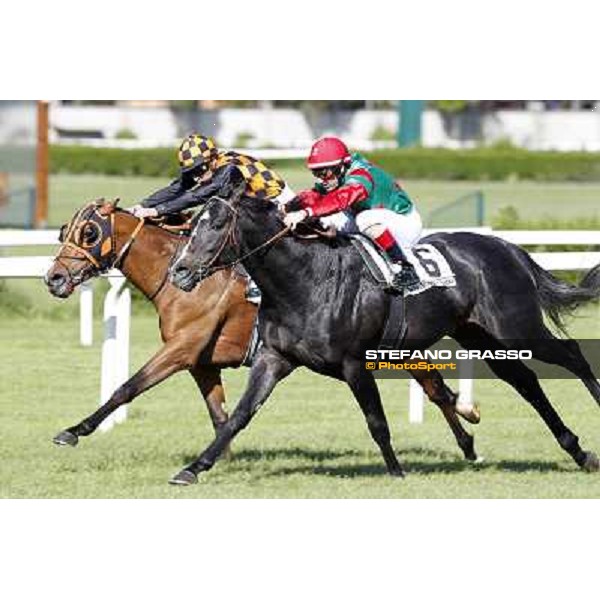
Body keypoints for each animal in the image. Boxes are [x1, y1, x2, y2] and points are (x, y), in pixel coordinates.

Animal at [45, 199, 478, 476]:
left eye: (88, 232)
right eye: (64, 230)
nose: (54, 278)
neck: (177, 277)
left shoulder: (182, 349)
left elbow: (127, 387)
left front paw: (73, 431)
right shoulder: (202, 364)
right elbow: (221, 415)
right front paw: (219, 459)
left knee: (437, 391)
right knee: (438, 391)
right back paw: (468, 436)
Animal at [166, 195, 600, 486]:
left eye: (215, 226)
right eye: (190, 225)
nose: (179, 271)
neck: (306, 280)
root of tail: (509, 248)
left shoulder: (354, 363)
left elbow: (376, 421)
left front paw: (395, 470)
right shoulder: (274, 358)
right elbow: (238, 417)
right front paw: (193, 469)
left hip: (516, 326)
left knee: (573, 355)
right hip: (483, 338)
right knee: (525, 382)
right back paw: (578, 451)